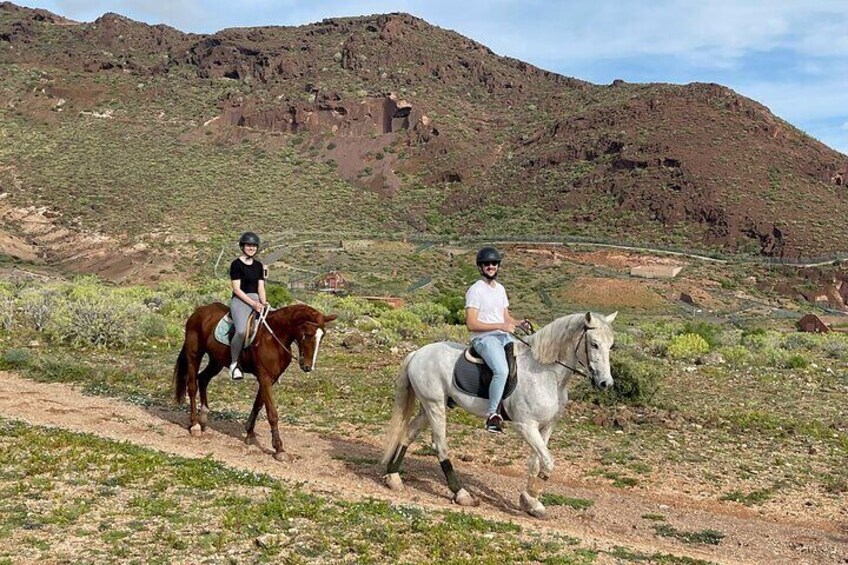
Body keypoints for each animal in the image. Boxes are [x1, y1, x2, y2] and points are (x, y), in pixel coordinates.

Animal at [172, 304, 334, 458]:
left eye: (322, 336)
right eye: (307, 335)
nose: (308, 367)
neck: (274, 337)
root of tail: (198, 312)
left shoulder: (269, 379)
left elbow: (258, 405)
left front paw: (249, 434)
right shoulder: (265, 378)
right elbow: (272, 413)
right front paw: (279, 448)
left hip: (216, 361)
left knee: (203, 379)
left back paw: (204, 417)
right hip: (194, 355)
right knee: (192, 387)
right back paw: (195, 425)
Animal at [382, 310, 616, 516]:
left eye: (611, 345)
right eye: (594, 344)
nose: (606, 383)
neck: (545, 371)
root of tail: (418, 353)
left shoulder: (546, 426)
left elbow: (537, 462)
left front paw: (530, 502)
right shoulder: (526, 426)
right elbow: (548, 462)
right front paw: (531, 498)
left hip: (429, 406)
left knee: (408, 434)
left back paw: (393, 477)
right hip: (435, 405)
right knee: (440, 445)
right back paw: (462, 494)